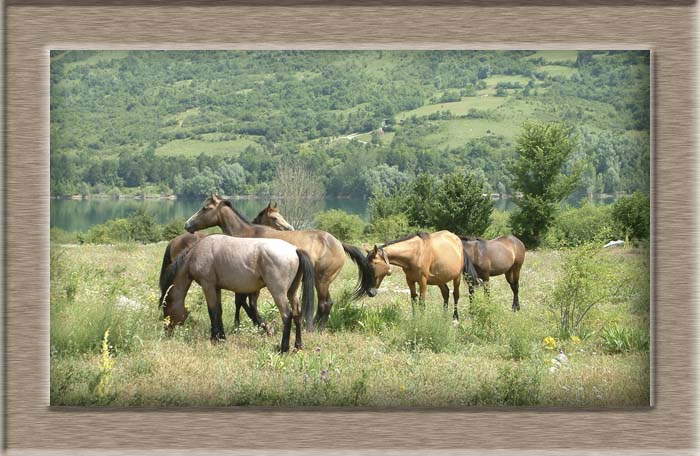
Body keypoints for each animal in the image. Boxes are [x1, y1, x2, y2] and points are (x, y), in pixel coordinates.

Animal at [157, 201, 296, 334]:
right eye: (274, 218)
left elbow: (238, 304)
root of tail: (173, 241)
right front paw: (246, 325)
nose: (290, 228)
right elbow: (239, 304)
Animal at [183, 193, 374, 332]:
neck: (249, 233)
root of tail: (339, 243)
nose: (187, 224)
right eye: (275, 218)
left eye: (205, 208)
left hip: (322, 281)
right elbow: (242, 303)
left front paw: (261, 325)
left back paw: (315, 328)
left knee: (325, 304)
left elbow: (248, 304)